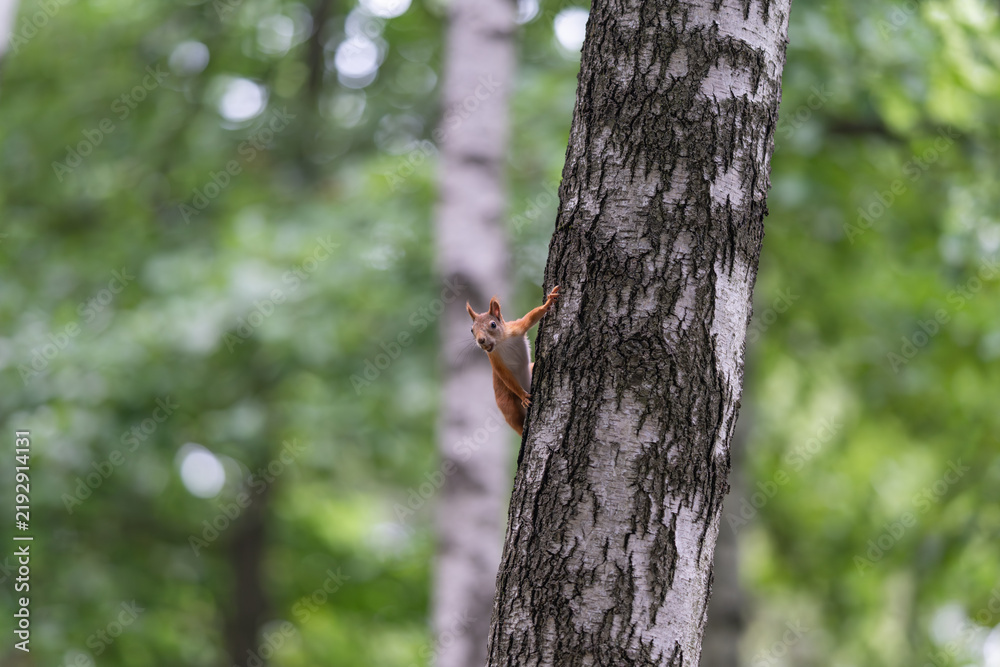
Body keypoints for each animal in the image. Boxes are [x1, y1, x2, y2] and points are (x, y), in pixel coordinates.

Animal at [466, 286, 559, 435]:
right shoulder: (494, 359)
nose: (481, 340)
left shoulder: (516, 327)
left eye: (493, 324)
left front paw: (548, 302)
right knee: (516, 421)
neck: (501, 342)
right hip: (508, 406)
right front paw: (523, 396)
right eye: (471, 330)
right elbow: (506, 376)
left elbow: (531, 317)